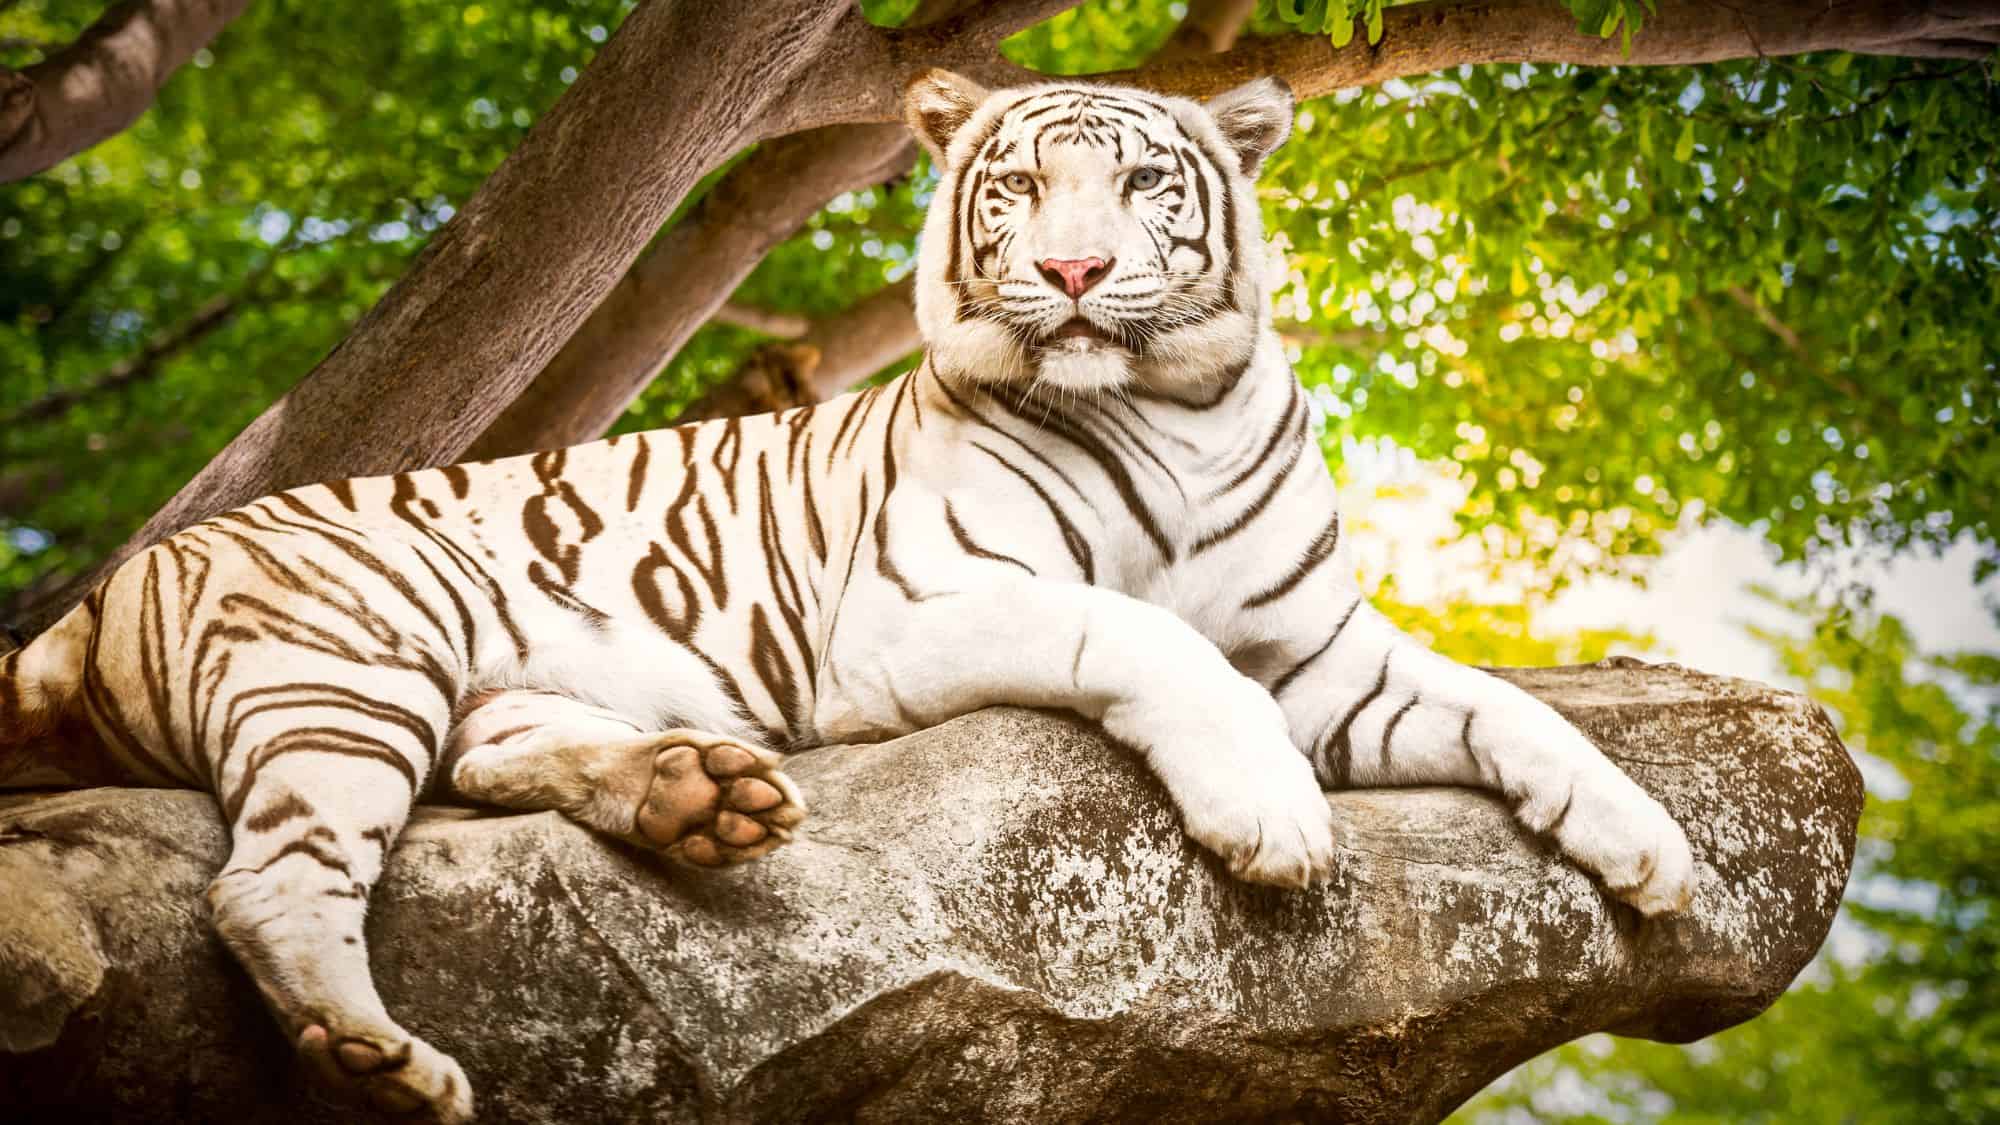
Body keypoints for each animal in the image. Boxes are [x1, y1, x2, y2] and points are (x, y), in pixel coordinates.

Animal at [0, 70, 1695, 1121]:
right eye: (1018, 187)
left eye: (1147, 181)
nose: (1075, 276)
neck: (1181, 409)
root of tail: (118, 577)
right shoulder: (923, 605)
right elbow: (1144, 631)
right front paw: (1272, 817)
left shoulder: (1325, 653)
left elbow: (1515, 712)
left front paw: (1661, 854)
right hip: (352, 658)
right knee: (266, 884)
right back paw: (384, 1059)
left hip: (463, 688)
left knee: (490, 762)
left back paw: (699, 799)